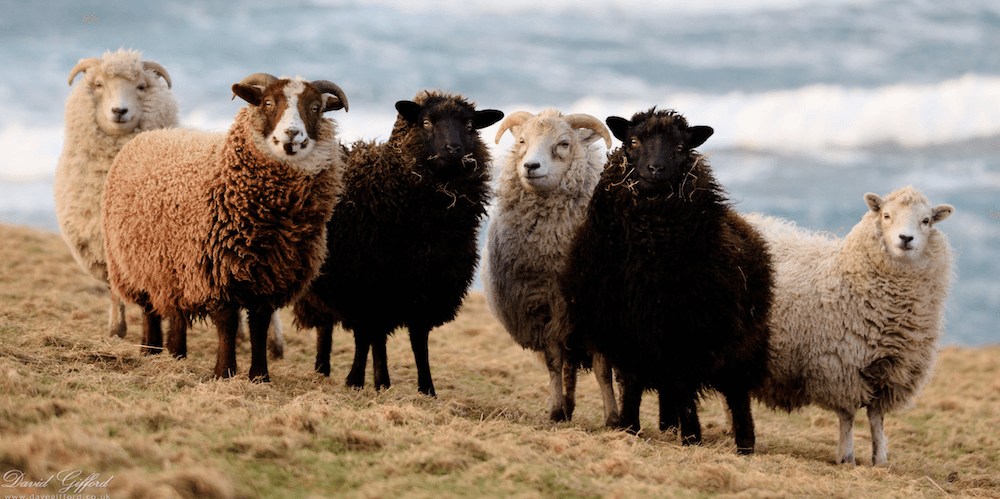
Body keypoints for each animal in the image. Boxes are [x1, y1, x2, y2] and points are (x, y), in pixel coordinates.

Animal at [103, 72, 350, 380]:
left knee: (176, 312)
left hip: (173, 267)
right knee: (150, 309)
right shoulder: (214, 271)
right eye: (268, 102)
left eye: (316, 107)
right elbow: (228, 323)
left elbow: (259, 326)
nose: (292, 134)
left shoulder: (271, 276)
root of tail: (152, 134)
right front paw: (225, 371)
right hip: (137, 264)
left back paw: (176, 353)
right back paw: (151, 349)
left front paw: (260, 376)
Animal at [292, 89, 504, 394]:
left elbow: (419, 341)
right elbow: (363, 336)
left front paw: (427, 389)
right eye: (426, 122)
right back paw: (323, 370)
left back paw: (382, 382)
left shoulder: (427, 287)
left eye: (469, 125)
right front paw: (354, 381)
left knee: (378, 336)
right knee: (327, 327)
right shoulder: (362, 283)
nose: (454, 149)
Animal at [564, 107, 772, 456]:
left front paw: (692, 437)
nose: (655, 169)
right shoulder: (626, 327)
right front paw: (629, 427)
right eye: (633, 141)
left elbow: (683, 384)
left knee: (736, 393)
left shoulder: (686, 329)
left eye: (680, 147)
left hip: (741, 345)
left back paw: (744, 444)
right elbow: (633, 381)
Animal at [748, 186, 956, 466]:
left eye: (926, 221)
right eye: (886, 215)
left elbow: (877, 418)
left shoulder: (891, 372)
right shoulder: (839, 367)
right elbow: (847, 416)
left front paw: (881, 460)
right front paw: (847, 457)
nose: (906, 238)